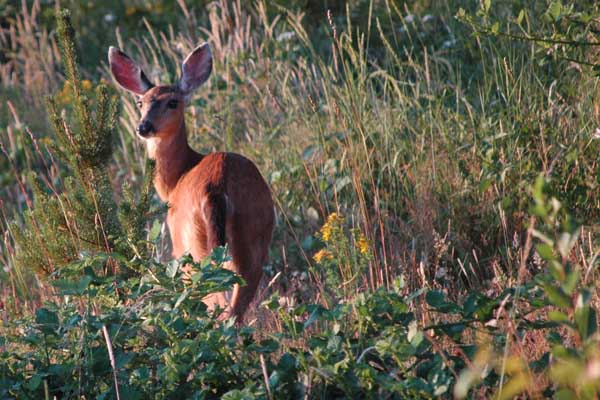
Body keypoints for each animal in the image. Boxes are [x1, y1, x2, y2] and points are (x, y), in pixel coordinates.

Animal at [108, 43, 274, 322]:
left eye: (173, 102)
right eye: (140, 102)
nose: (143, 127)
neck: (176, 180)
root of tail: (217, 188)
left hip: (194, 250)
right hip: (253, 240)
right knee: (237, 307)